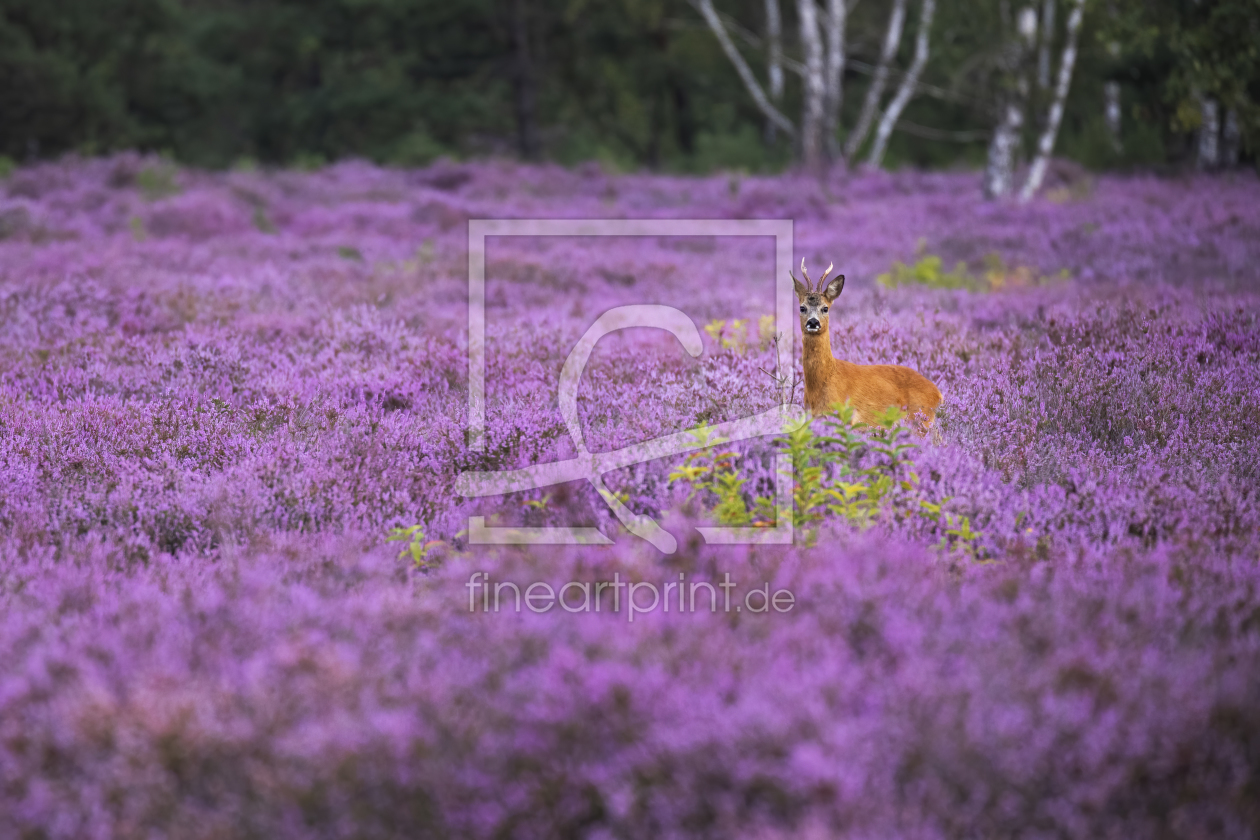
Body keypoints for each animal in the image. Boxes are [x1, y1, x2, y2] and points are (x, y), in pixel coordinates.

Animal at [791, 260, 942, 433]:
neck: (825, 378)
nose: (813, 322)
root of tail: (938, 393)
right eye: (802, 307)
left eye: (825, 308)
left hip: (920, 420)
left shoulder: (843, 417)